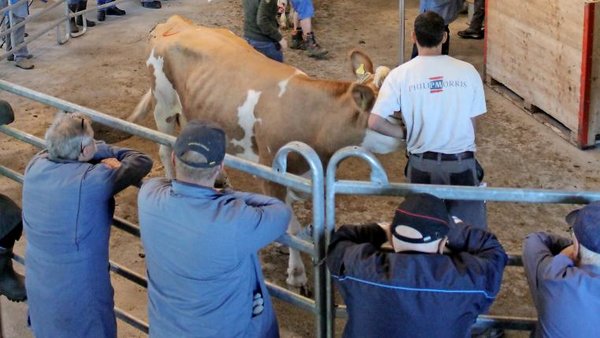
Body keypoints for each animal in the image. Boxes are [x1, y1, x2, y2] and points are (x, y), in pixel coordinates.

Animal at [130, 15, 398, 290]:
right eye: (396, 113)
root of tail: (175, 22)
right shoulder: (272, 171)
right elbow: (290, 226)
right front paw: (296, 273)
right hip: (163, 104)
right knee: (165, 149)